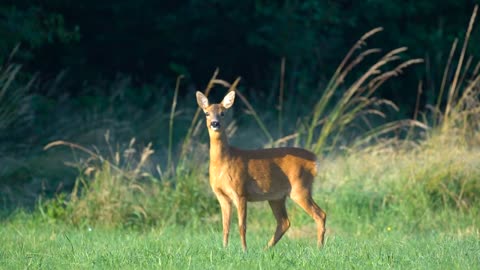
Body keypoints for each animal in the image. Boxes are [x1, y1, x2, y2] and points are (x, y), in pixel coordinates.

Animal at [196, 89, 326, 250]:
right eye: (207, 113)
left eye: (223, 113)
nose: (215, 123)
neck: (224, 162)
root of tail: (314, 159)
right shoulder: (221, 195)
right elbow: (225, 226)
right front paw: (225, 249)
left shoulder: (240, 192)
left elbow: (242, 226)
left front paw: (244, 250)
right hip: (276, 196)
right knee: (284, 222)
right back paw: (266, 249)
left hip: (300, 188)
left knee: (320, 215)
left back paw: (319, 248)